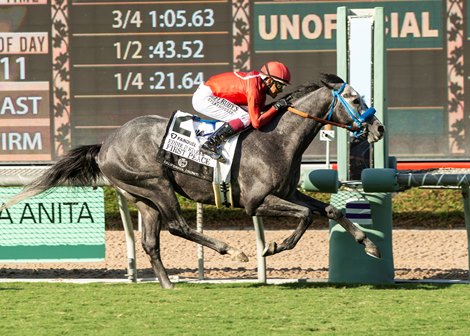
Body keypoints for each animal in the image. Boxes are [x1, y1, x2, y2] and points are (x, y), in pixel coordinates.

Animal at [1, 74, 384, 288]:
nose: (378, 128)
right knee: (178, 226)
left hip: (143, 197)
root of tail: (106, 144)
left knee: (151, 241)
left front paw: (369, 244)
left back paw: (168, 284)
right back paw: (232, 250)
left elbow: (331, 212)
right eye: (354, 99)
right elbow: (304, 218)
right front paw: (271, 247)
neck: (277, 139)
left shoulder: (289, 192)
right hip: (157, 184)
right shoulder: (257, 202)